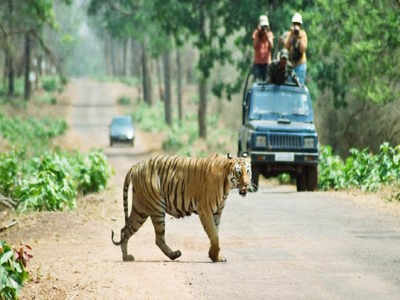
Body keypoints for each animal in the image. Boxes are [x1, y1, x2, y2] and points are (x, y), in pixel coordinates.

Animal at [111, 152, 250, 262]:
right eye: (239, 173)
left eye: (248, 171)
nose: (247, 184)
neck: (227, 185)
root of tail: (136, 165)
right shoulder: (205, 210)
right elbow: (214, 235)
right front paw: (214, 257)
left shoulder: (217, 213)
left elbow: (215, 233)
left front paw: (215, 256)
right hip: (156, 208)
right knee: (158, 238)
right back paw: (174, 255)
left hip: (140, 209)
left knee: (125, 230)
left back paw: (126, 257)